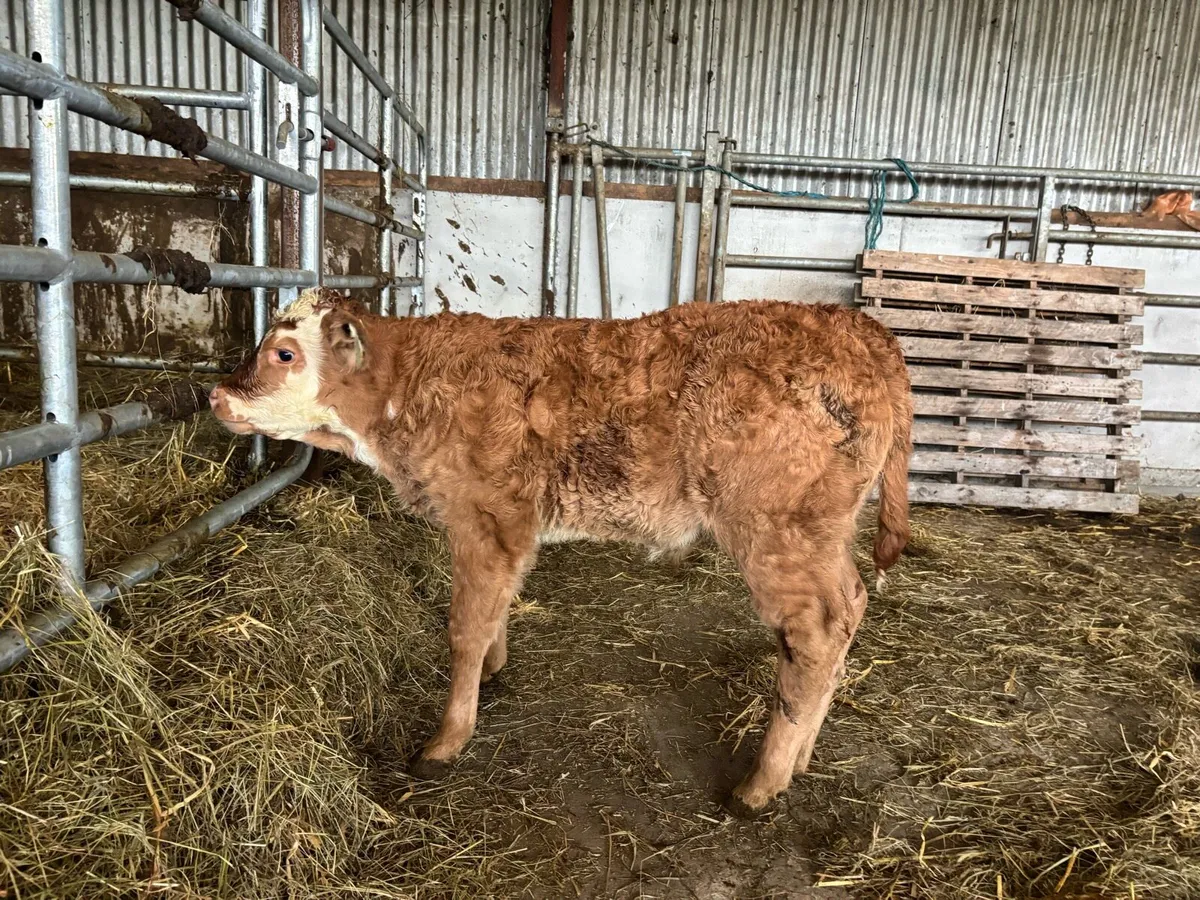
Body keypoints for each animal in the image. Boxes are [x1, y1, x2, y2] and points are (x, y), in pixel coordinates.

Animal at [209, 288, 913, 817]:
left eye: (283, 352)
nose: (216, 394)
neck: (411, 386)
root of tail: (855, 325)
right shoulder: (507, 530)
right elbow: (495, 608)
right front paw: (493, 669)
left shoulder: (485, 516)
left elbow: (465, 626)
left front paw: (447, 738)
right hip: (822, 533)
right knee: (849, 608)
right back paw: (801, 757)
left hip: (775, 530)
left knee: (815, 633)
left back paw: (762, 783)